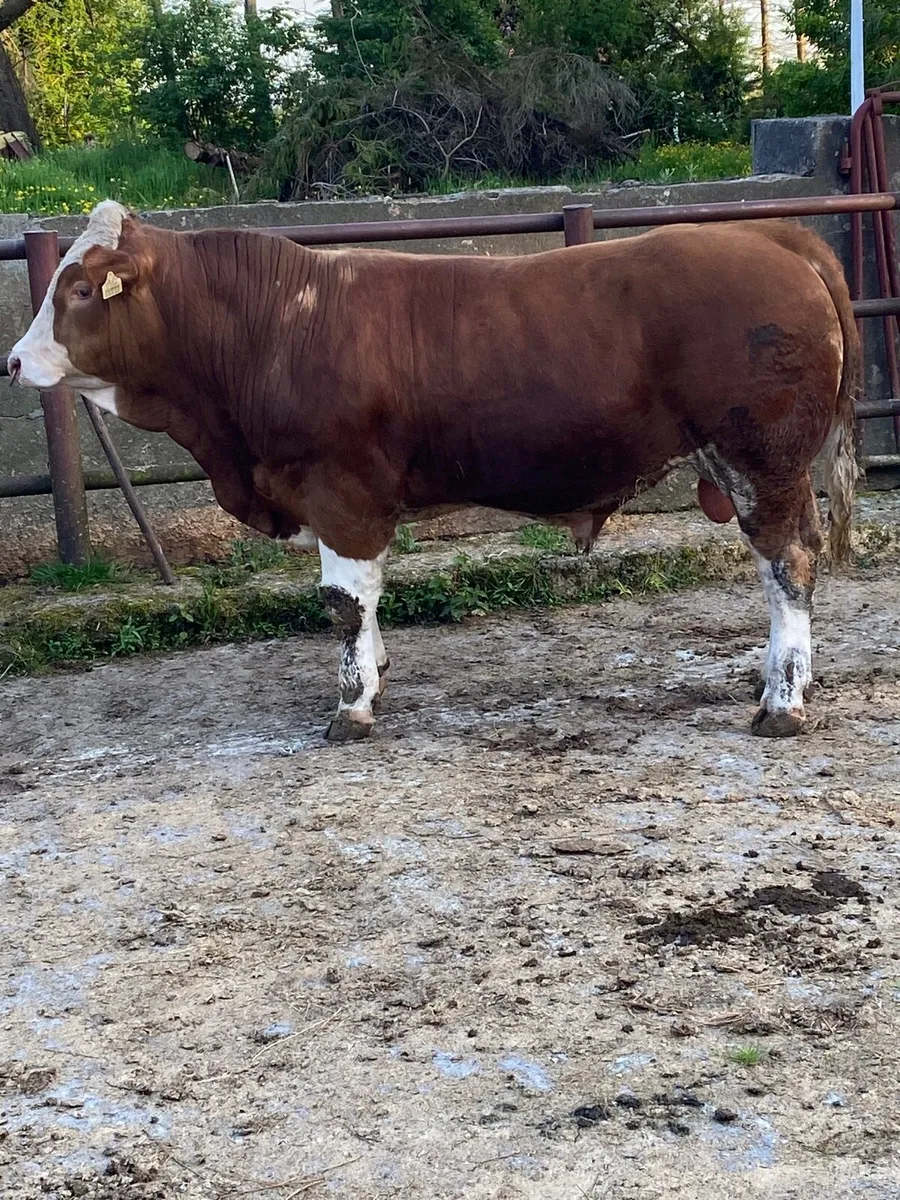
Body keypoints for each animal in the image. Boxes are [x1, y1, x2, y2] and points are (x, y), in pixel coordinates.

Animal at [8, 200, 858, 743]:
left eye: (79, 290)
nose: (13, 361)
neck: (273, 323)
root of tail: (774, 237)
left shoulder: (340, 490)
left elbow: (344, 603)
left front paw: (353, 706)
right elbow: (368, 600)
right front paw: (377, 672)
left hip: (762, 461)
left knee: (788, 564)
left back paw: (783, 702)